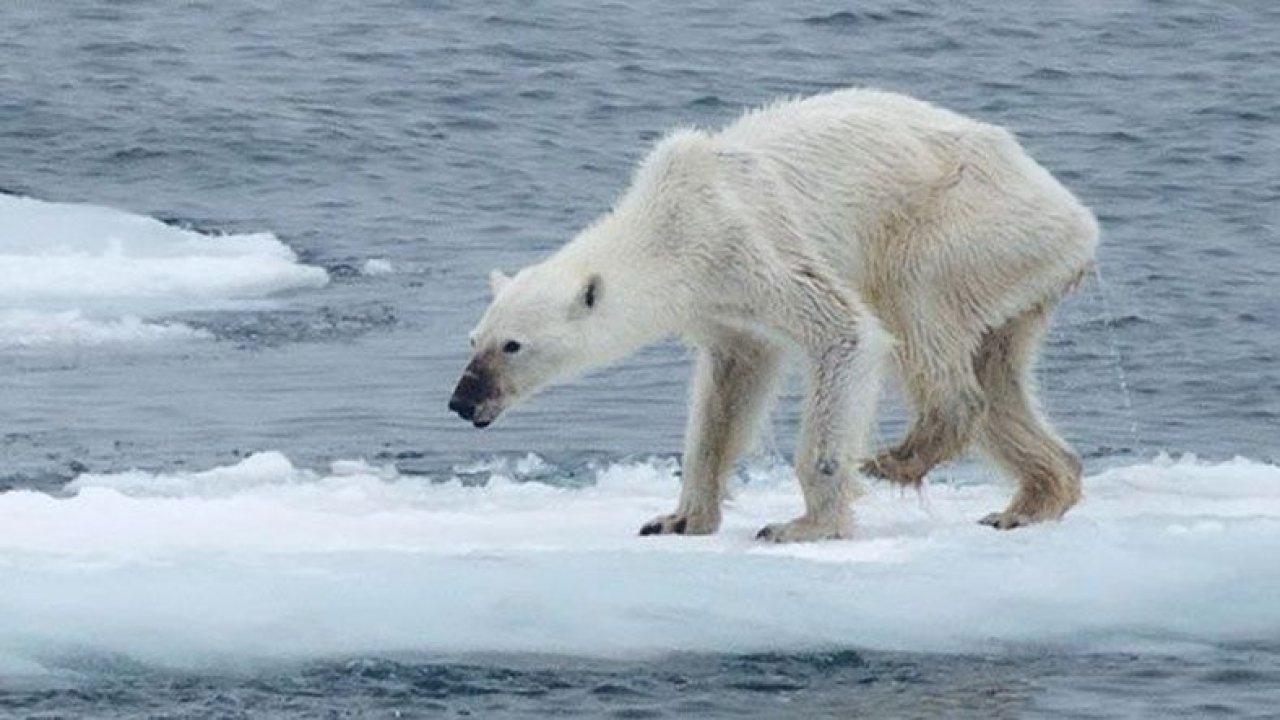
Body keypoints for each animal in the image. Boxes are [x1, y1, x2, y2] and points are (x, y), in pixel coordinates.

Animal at [445, 88, 1095, 538]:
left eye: (513, 345)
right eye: (474, 338)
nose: (462, 401)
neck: (669, 222)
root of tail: (1078, 218)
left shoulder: (747, 243)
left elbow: (845, 332)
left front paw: (802, 525)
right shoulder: (721, 305)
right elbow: (727, 392)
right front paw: (677, 518)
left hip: (967, 225)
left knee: (917, 306)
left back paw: (900, 456)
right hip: (1016, 273)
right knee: (999, 373)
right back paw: (1031, 500)